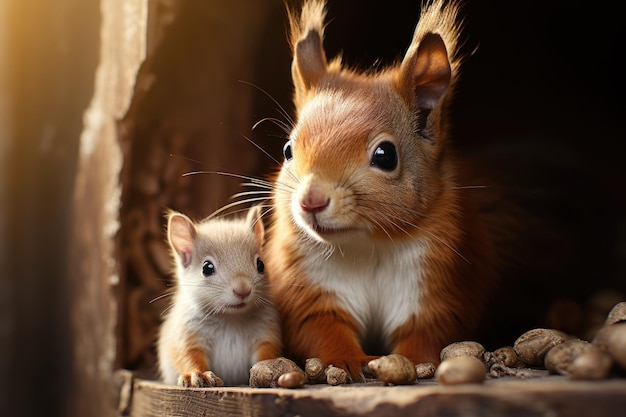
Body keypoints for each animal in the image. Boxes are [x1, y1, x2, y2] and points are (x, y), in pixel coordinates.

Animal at [157, 206, 282, 386]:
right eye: (207, 268)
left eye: (261, 264)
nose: (243, 290)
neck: (230, 318)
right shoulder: (187, 334)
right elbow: (187, 355)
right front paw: (197, 375)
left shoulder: (266, 330)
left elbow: (267, 351)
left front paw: (269, 366)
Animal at [262, 0, 498, 380]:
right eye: (287, 150)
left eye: (386, 156)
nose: (311, 201)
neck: (367, 243)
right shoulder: (309, 287)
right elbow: (321, 328)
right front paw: (346, 360)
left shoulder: (436, 288)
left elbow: (426, 332)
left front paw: (412, 362)